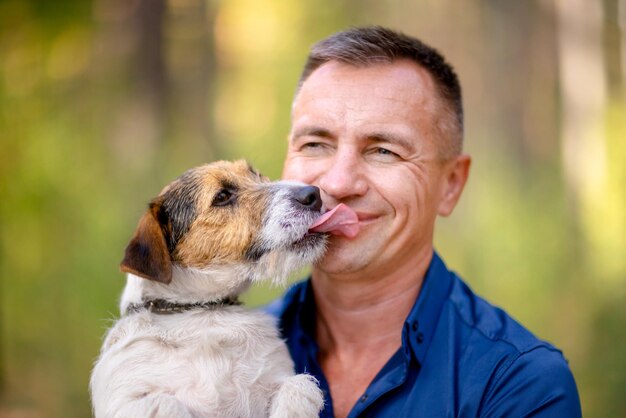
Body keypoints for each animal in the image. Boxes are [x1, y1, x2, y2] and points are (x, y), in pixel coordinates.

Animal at [89, 160, 332, 418]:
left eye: (256, 174)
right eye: (222, 196)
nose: (313, 194)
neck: (205, 311)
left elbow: (298, 384)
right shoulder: (125, 396)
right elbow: (165, 403)